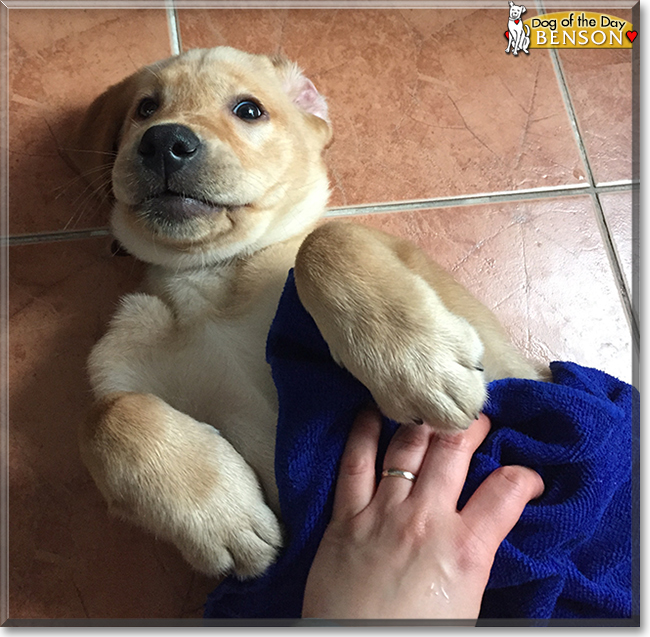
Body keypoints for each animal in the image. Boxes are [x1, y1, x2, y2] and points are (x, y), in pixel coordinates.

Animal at [69, 44, 540, 580]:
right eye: (145, 108)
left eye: (249, 110)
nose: (165, 141)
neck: (212, 277)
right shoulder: (122, 364)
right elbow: (104, 415)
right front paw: (223, 516)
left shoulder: (508, 369)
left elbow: (326, 239)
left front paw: (422, 366)